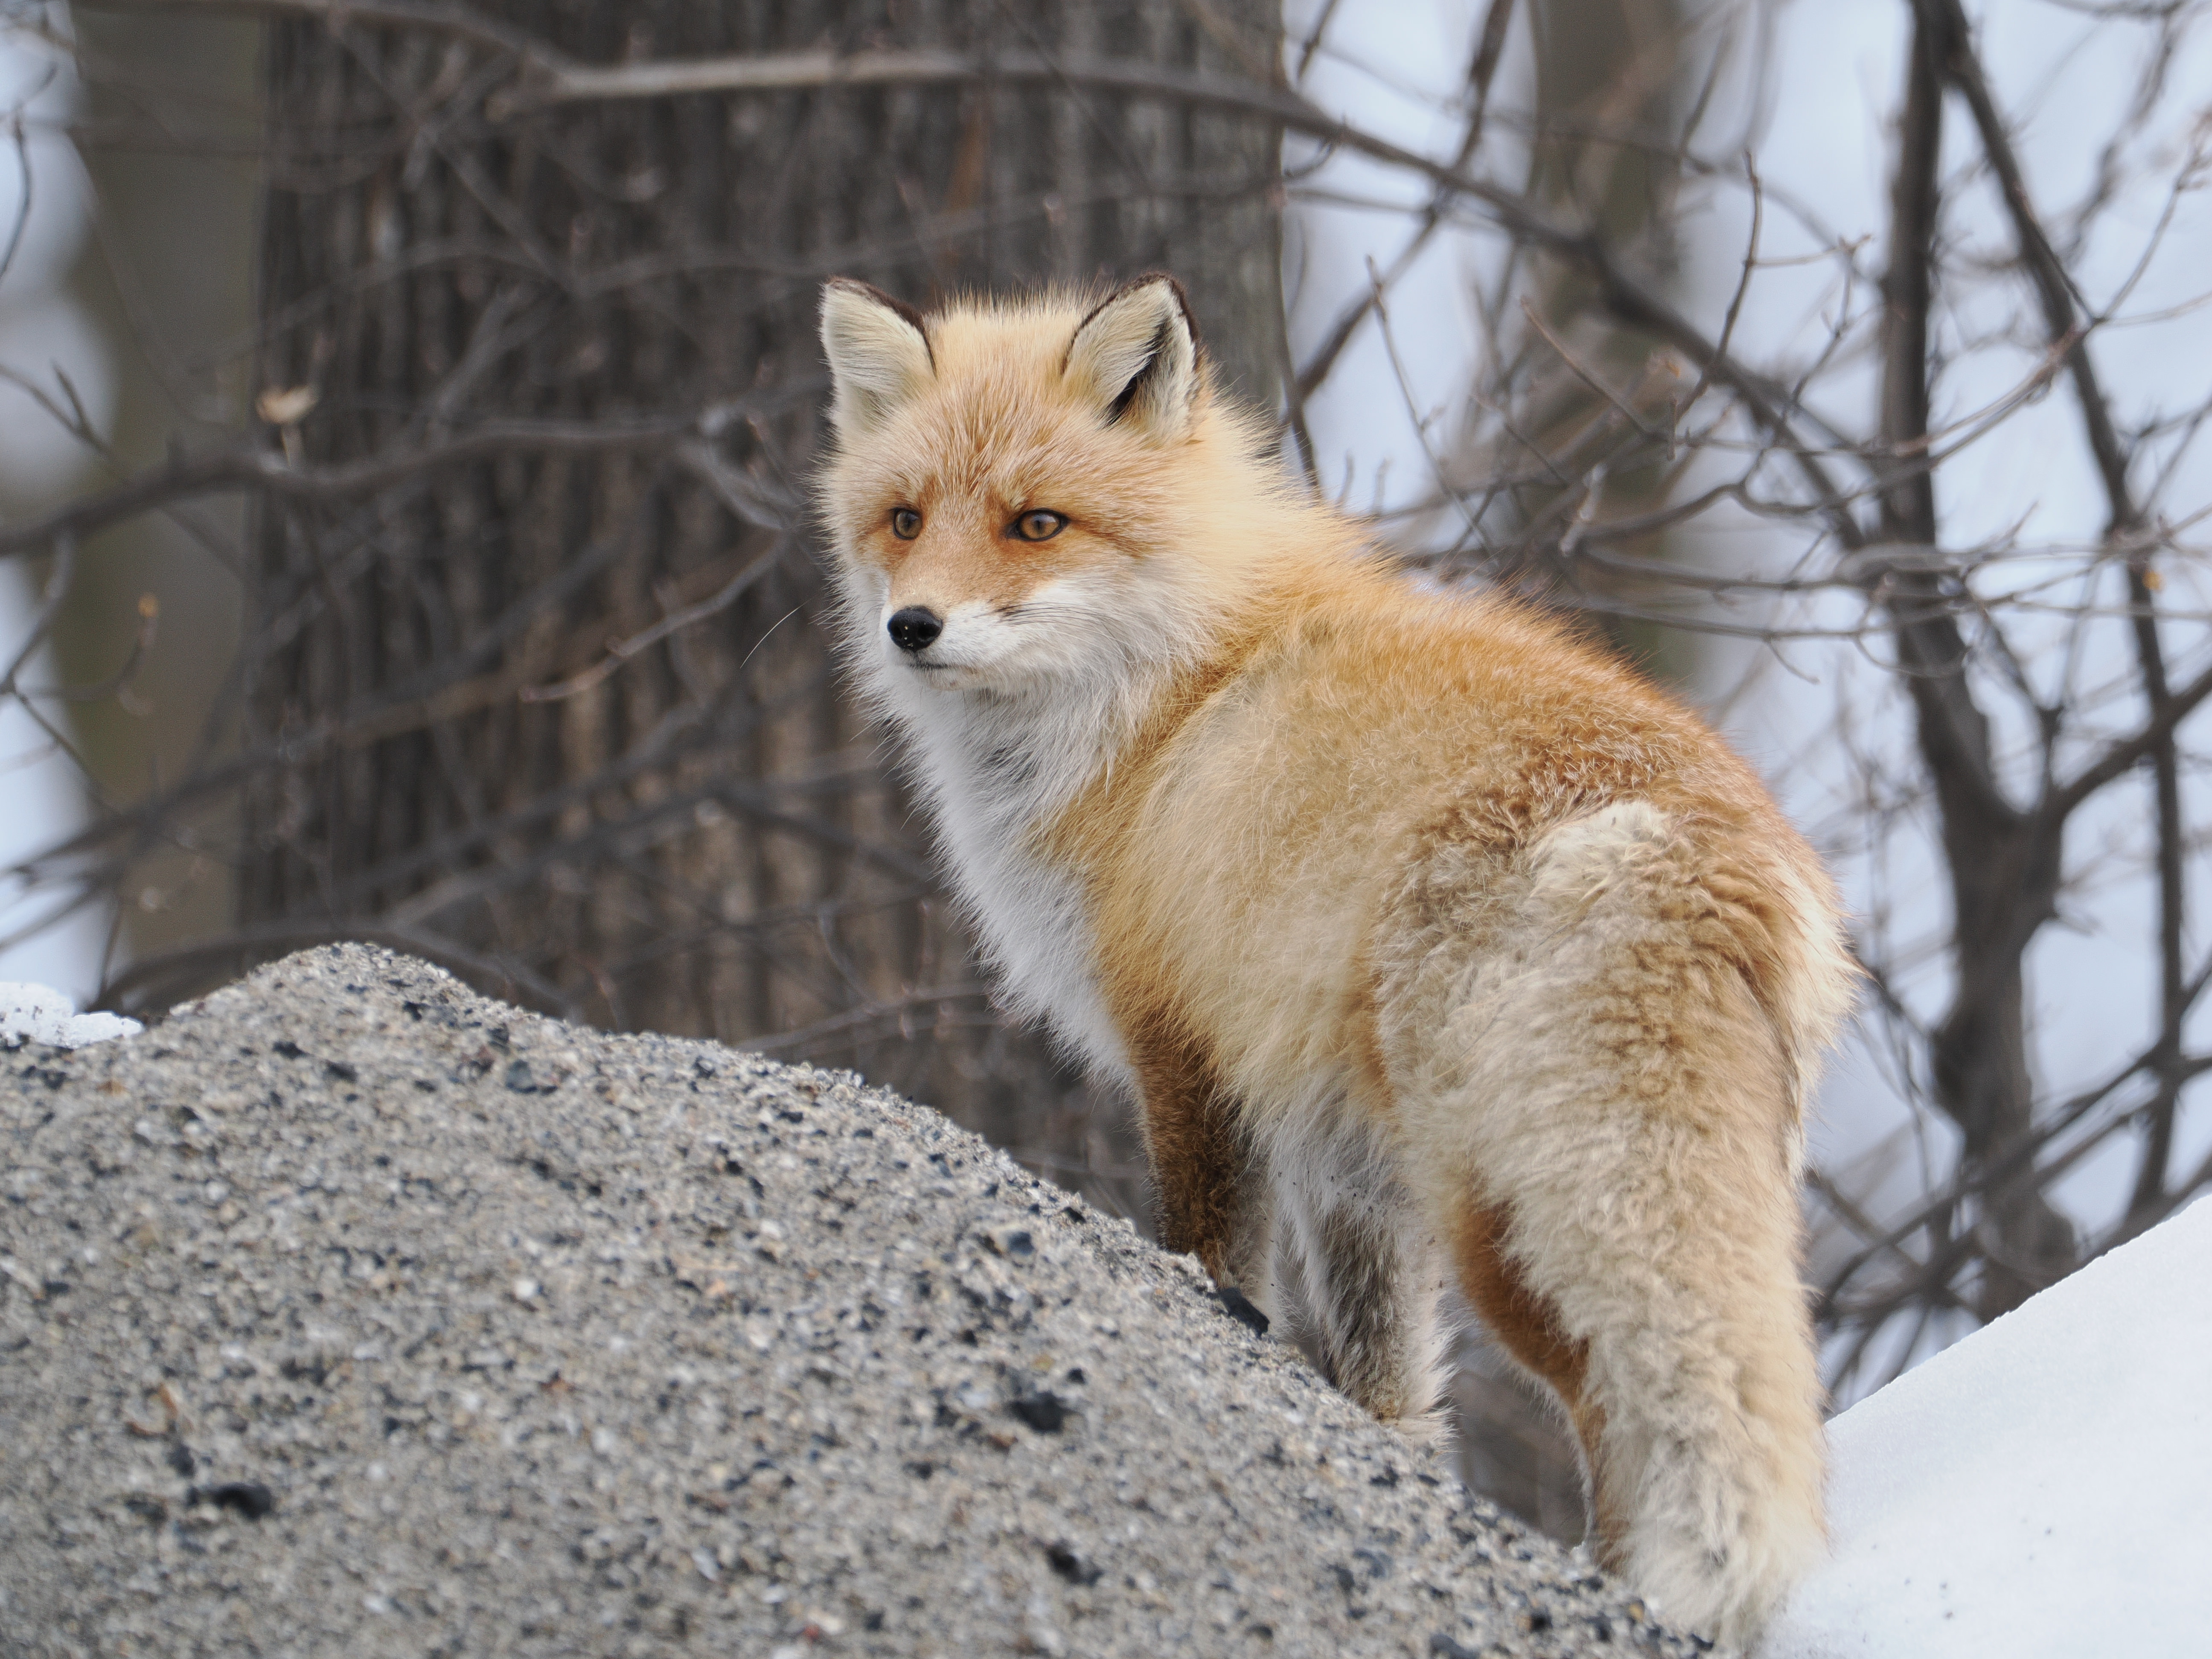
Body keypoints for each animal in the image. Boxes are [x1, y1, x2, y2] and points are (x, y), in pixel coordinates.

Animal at [813, 272, 1857, 1649]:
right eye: (904, 518)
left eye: (1037, 523)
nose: (913, 625)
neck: (1161, 701)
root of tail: (1694, 849)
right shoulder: (1344, 1159)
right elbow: (1383, 1392)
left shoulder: (1182, 1042)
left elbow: (1210, 1256)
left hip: (1510, 1213)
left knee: (1620, 1410)